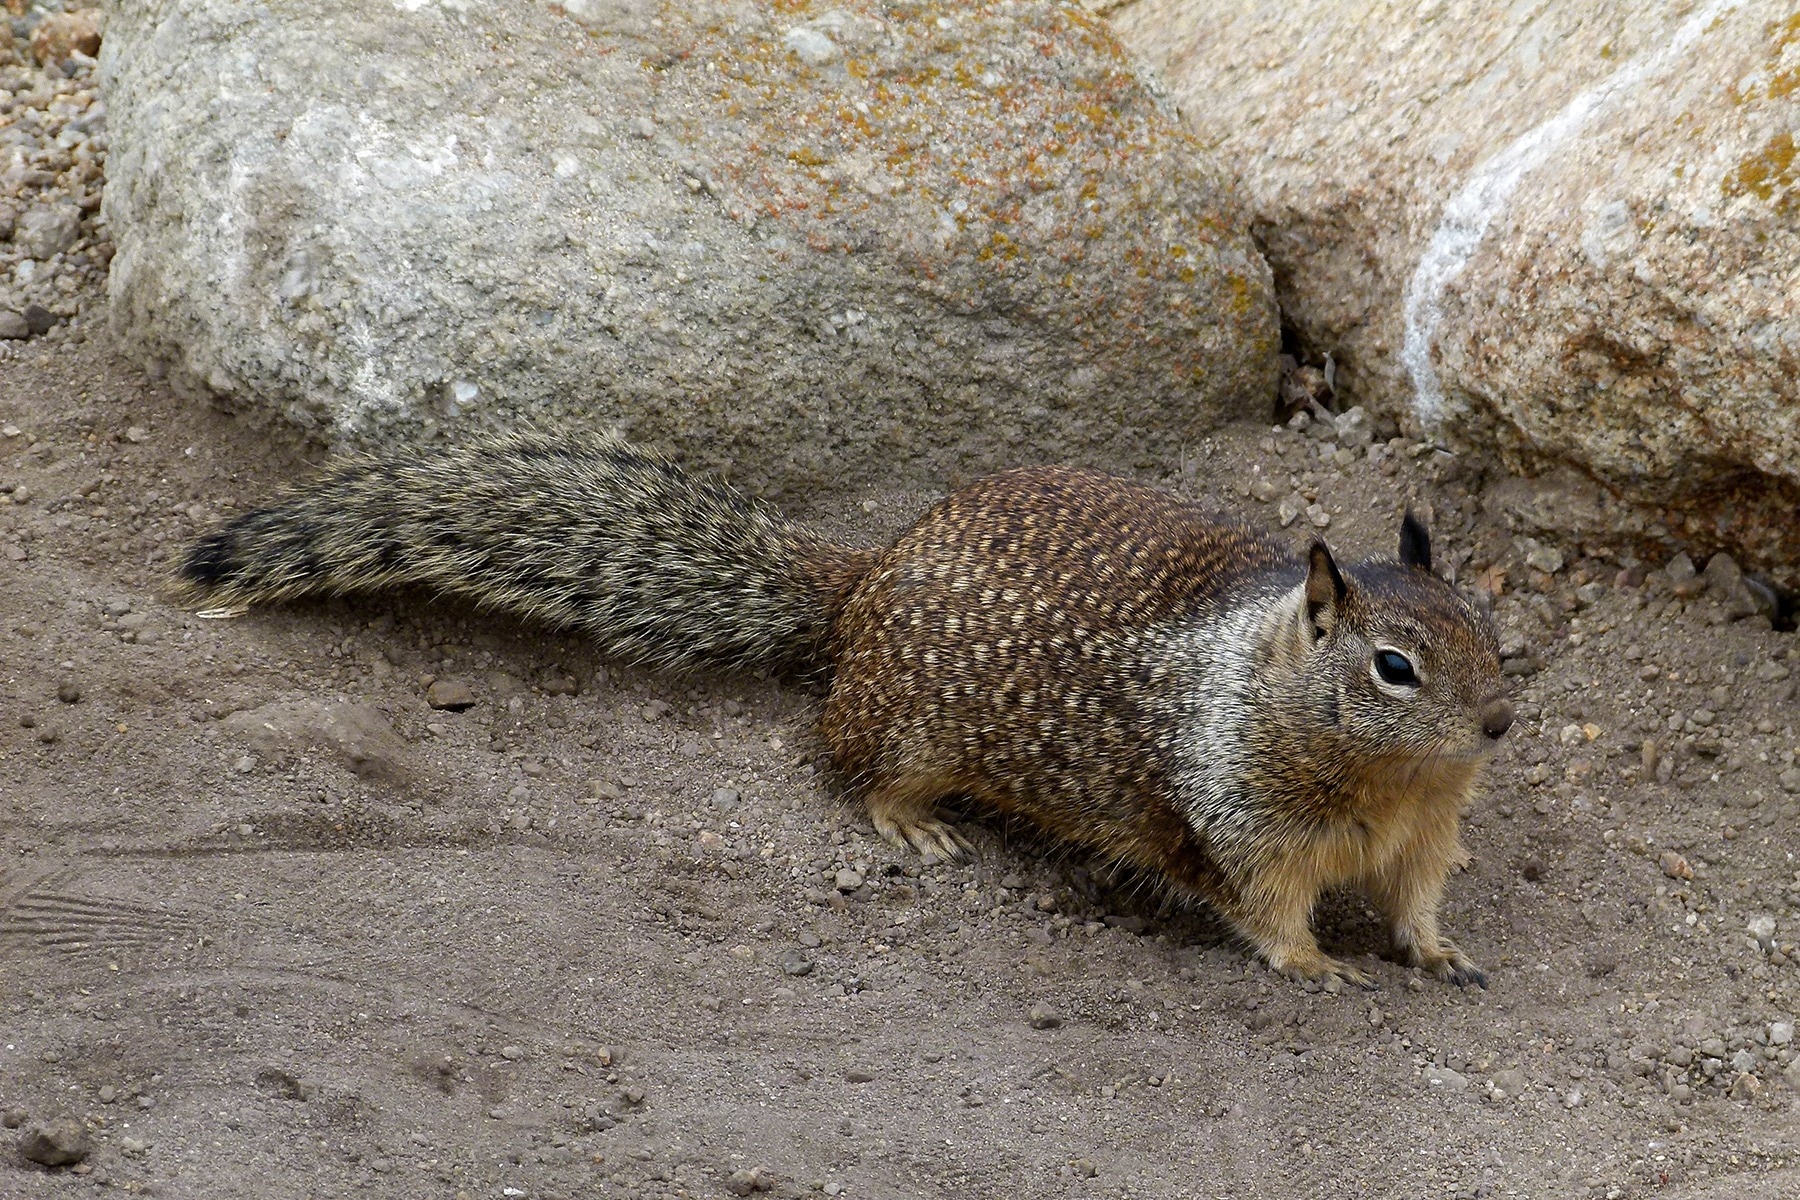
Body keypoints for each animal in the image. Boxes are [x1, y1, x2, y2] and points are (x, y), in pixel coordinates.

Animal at [182, 431, 1512, 985]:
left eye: (1488, 629)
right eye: (1394, 668)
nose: (1497, 728)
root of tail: (866, 577)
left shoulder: (1429, 833)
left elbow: (1419, 899)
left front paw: (1439, 951)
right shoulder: (1239, 823)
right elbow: (1266, 909)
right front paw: (1315, 965)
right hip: (907, 729)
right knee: (846, 766)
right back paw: (911, 823)